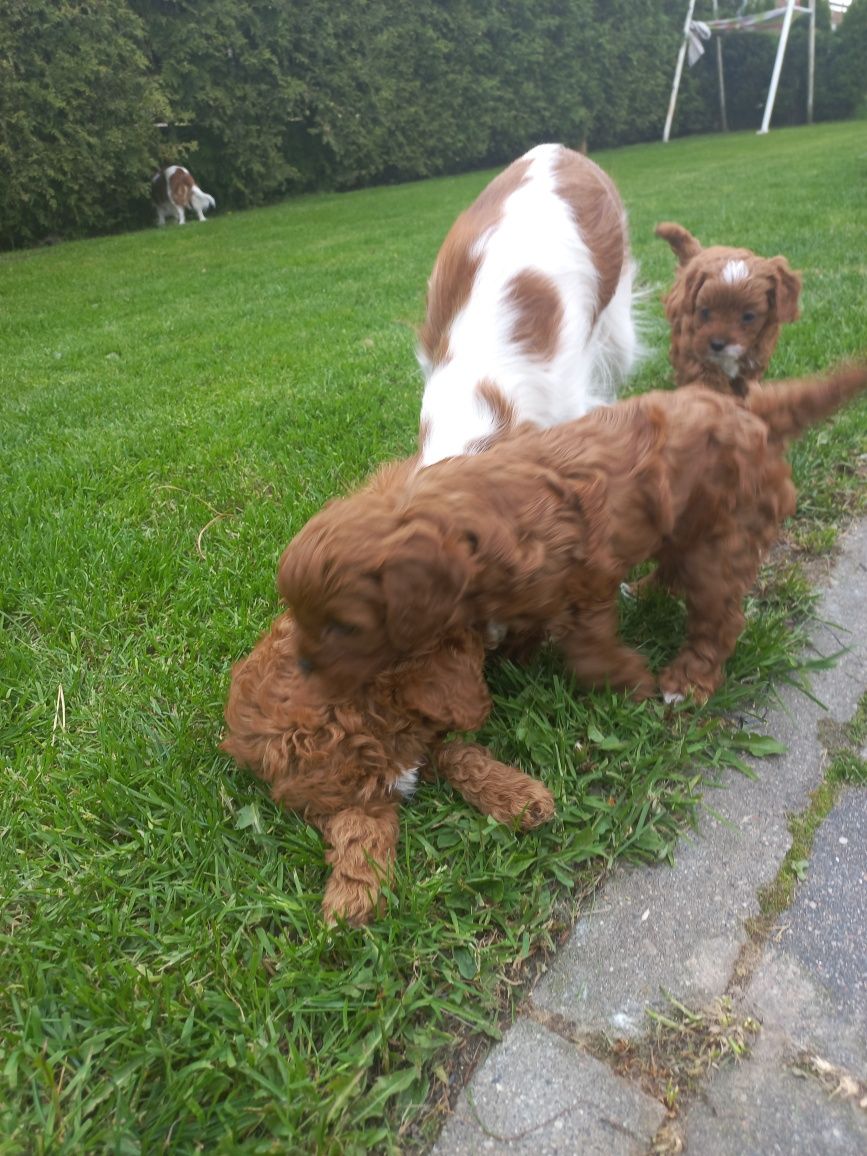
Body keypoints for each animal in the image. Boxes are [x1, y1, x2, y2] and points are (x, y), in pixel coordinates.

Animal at [224, 610, 557, 924]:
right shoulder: (348, 798)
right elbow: (361, 836)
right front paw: (353, 901)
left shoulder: (421, 743)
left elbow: (458, 755)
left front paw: (520, 797)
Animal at [278, 362, 867, 702]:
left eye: (344, 627)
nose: (302, 666)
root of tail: (747, 410)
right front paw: (514, 653)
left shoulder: (584, 581)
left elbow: (588, 649)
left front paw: (630, 680)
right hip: (686, 519)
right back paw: (648, 591)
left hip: (725, 537)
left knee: (720, 617)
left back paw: (686, 682)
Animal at [656, 223, 804, 399]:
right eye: (704, 312)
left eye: (748, 316)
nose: (717, 345)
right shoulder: (693, 354)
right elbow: (712, 384)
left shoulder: (754, 362)